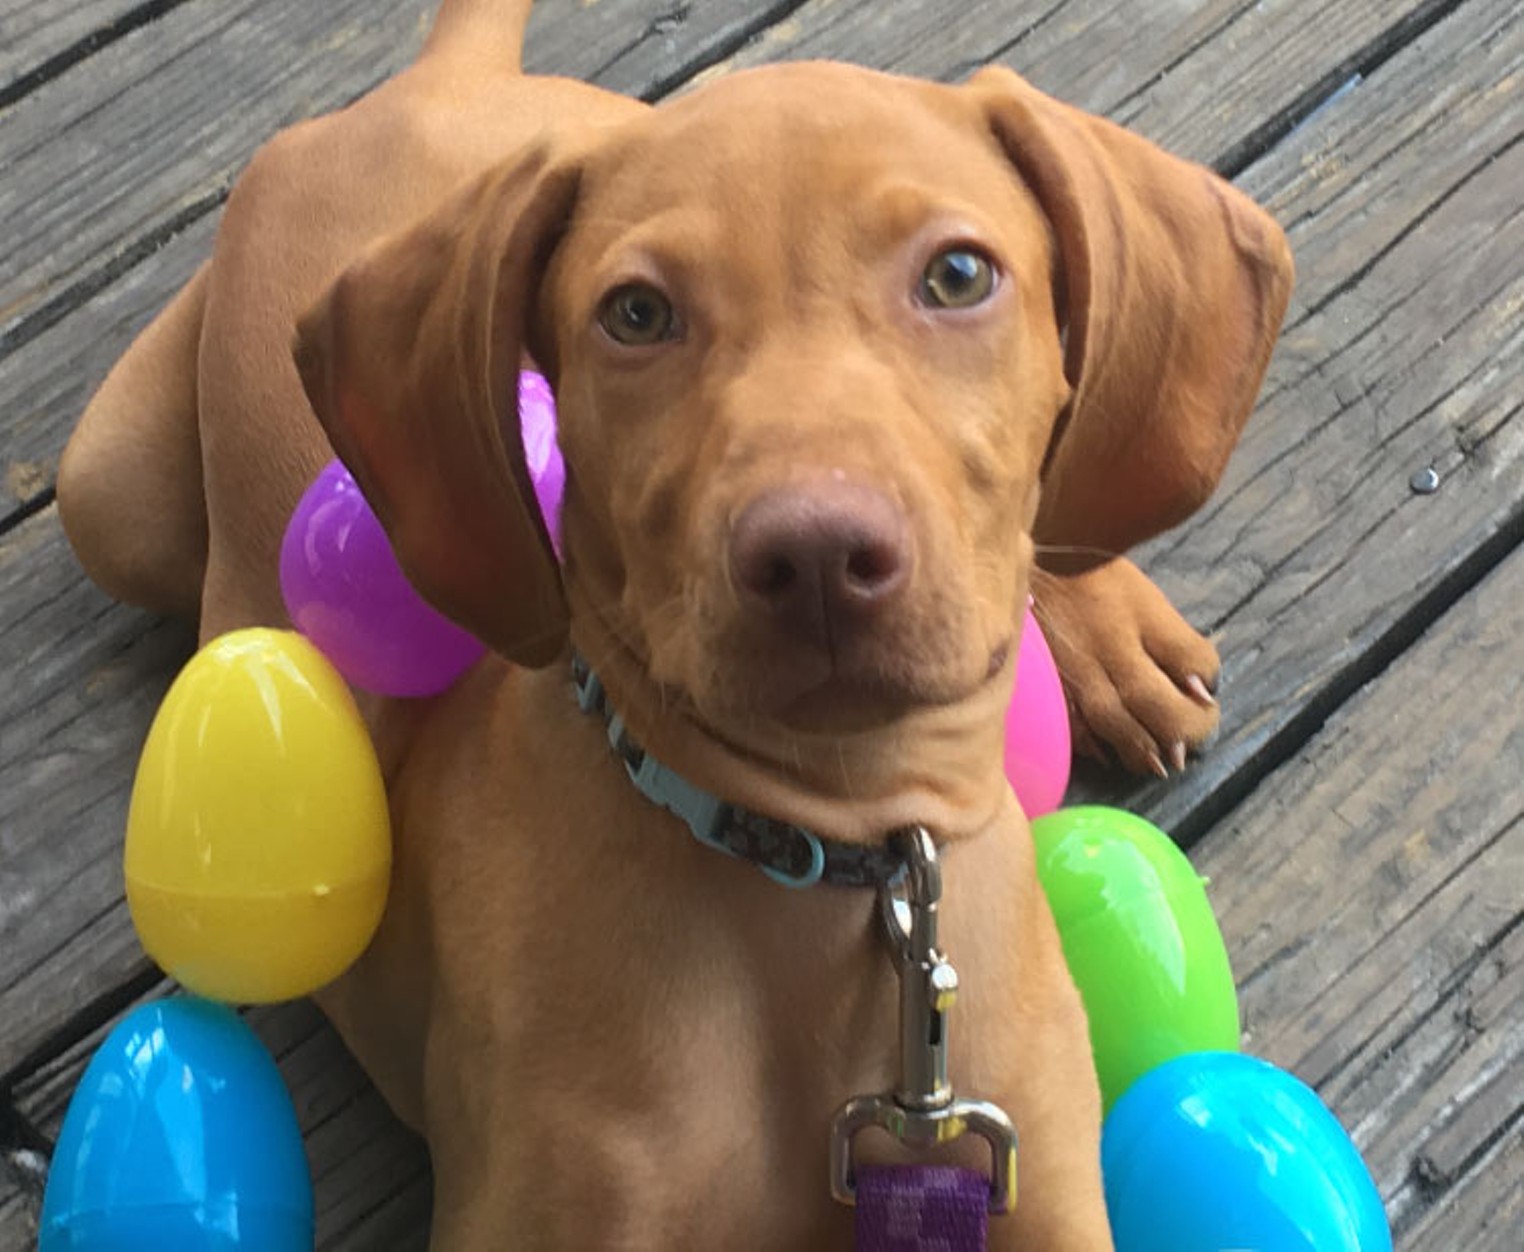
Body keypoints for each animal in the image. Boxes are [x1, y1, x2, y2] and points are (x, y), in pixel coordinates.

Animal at [59, 4, 1292, 1248]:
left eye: (957, 275)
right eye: (637, 314)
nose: (817, 557)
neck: (830, 859)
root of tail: (436, 84)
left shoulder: (1048, 1192)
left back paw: (1112, 630)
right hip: (103, 496)